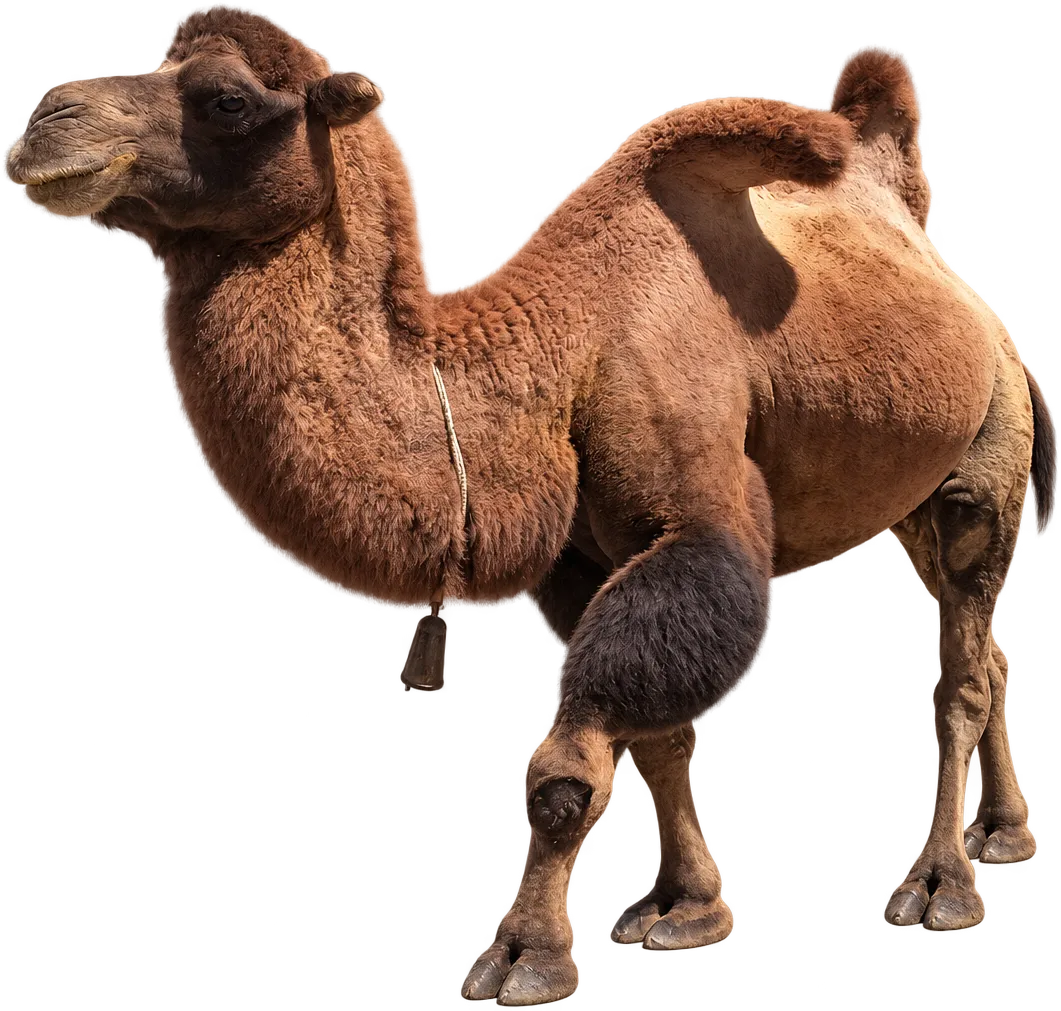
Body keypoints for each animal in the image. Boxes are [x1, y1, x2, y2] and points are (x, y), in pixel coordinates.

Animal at [7, 10, 1052, 1005]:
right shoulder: (580, 559)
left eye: (224, 97)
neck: (554, 357)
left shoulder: (698, 523)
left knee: (959, 670)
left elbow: (563, 767)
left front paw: (521, 952)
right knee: (983, 652)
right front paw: (678, 905)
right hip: (911, 498)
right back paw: (1002, 833)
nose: (44, 121)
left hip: (985, 459)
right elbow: (658, 738)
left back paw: (936, 884)